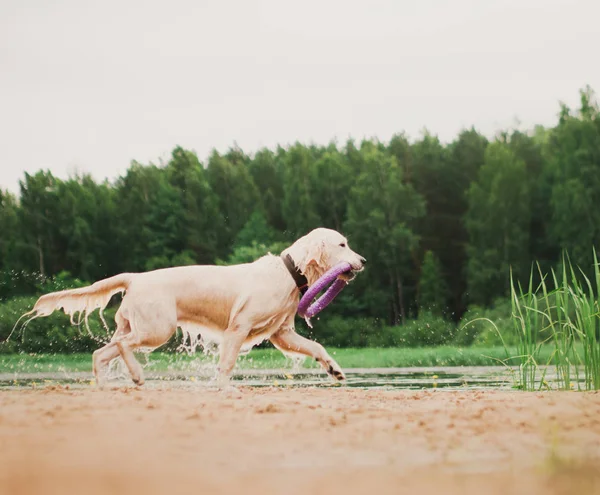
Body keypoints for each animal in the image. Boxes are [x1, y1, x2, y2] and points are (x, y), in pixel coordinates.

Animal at [22, 228, 366, 388]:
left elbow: (317, 347)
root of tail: (134, 277)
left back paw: (110, 384)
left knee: (101, 353)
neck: (289, 273)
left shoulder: (281, 334)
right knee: (121, 346)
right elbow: (227, 364)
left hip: (140, 328)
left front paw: (335, 370)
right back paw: (137, 375)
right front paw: (225, 389)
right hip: (157, 329)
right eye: (342, 245)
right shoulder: (238, 328)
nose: (363, 261)